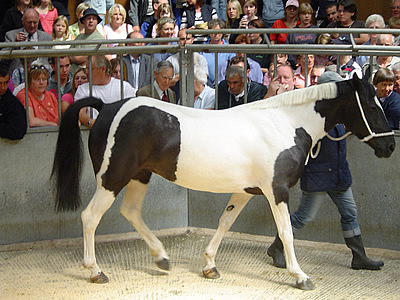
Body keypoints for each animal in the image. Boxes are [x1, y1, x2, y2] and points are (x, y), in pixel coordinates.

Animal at [52, 74, 394, 288]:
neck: (284, 123)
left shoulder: (246, 191)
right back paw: (96, 271)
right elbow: (286, 232)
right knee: (90, 217)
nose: (389, 146)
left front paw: (209, 266)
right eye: (372, 105)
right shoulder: (276, 191)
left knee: (131, 211)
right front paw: (300, 276)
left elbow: (225, 222)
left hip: (139, 175)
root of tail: (107, 107)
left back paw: (162, 258)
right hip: (113, 176)